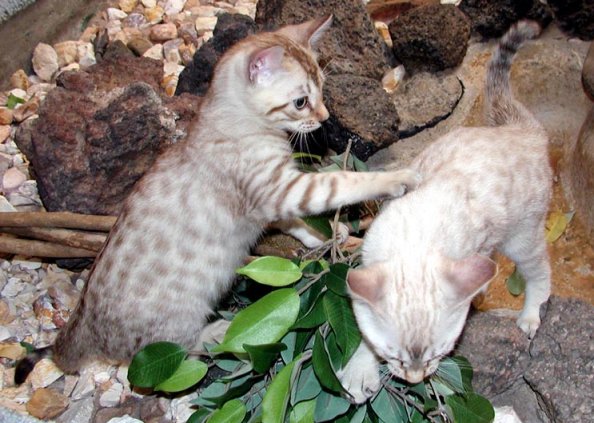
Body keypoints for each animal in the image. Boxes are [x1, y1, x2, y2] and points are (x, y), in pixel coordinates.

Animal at [16, 14, 418, 380]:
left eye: (322, 89)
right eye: (301, 102)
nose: (323, 117)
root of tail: (79, 327)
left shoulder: (270, 200)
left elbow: (297, 223)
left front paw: (325, 235)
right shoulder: (282, 189)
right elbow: (341, 183)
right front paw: (396, 178)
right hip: (177, 322)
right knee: (175, 346)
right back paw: (221, 331)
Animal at [338, 20, 552, 404]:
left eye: (439, 353)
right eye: (394, 356)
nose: (414, 379)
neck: (415, 242)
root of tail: (522, 130)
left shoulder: (480, 241)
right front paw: (361, 368)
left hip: (522, 235)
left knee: (541, 272)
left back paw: (529, 315)